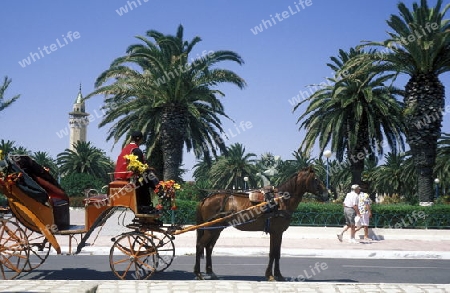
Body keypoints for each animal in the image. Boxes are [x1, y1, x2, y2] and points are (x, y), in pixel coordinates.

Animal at [194, 165, 326, 280]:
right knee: (200, 245)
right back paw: (198, 273)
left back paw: (210, 272)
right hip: (211, 229)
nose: (327, 194)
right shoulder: (276, 232)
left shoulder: (277, 233)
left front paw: (277, 275)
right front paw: (271, 275)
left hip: (216, 229)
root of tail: (206, 198)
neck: (281, 200)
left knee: (209, 247)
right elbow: (273, 253)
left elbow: (277, 253)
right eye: (316, 179)